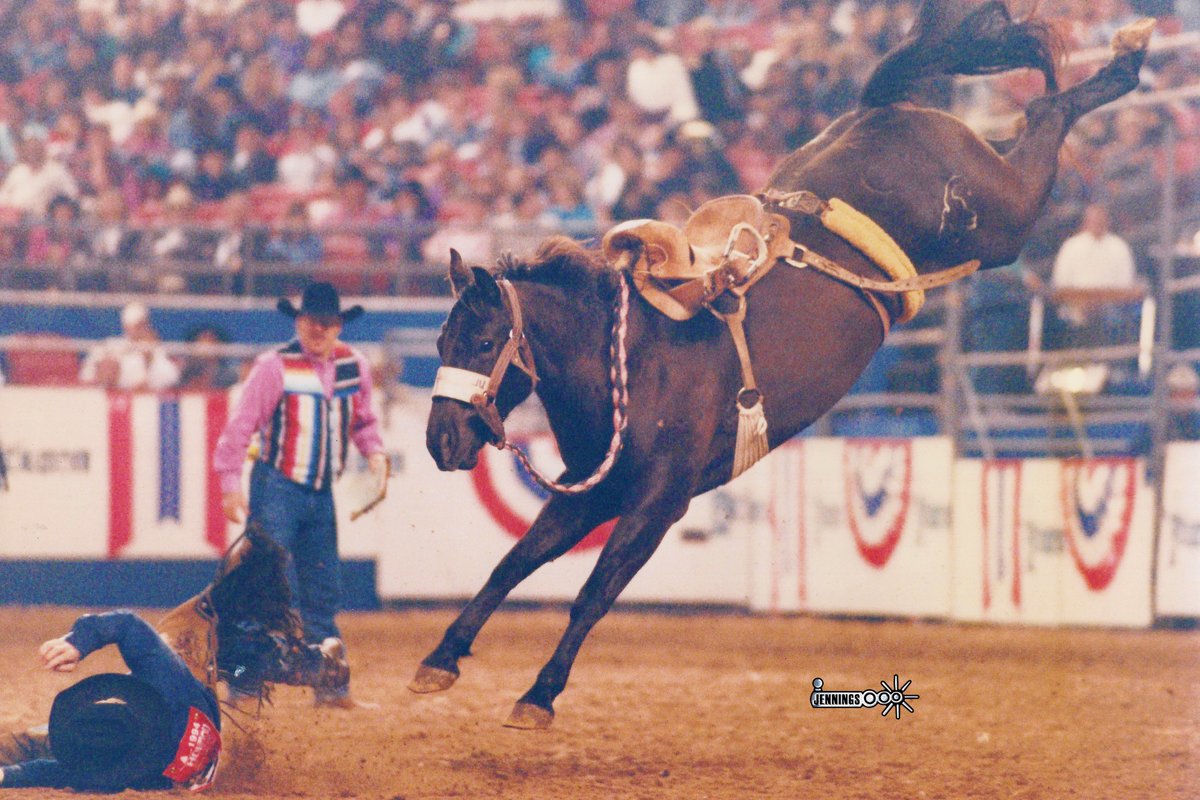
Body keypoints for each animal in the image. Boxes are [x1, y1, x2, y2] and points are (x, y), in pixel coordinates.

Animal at [412, 0, 1153, 729]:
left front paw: (539, 694)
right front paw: (442, 658)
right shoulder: (590, 488)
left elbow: (593, 593)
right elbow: (512, 563)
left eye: (484, 343)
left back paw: (1127, 58)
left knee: (1046, 114)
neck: (634, 357)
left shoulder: (660, 501)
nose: (440, 440)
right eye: (442, 344)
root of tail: (879, 109)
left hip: (1002, 216)